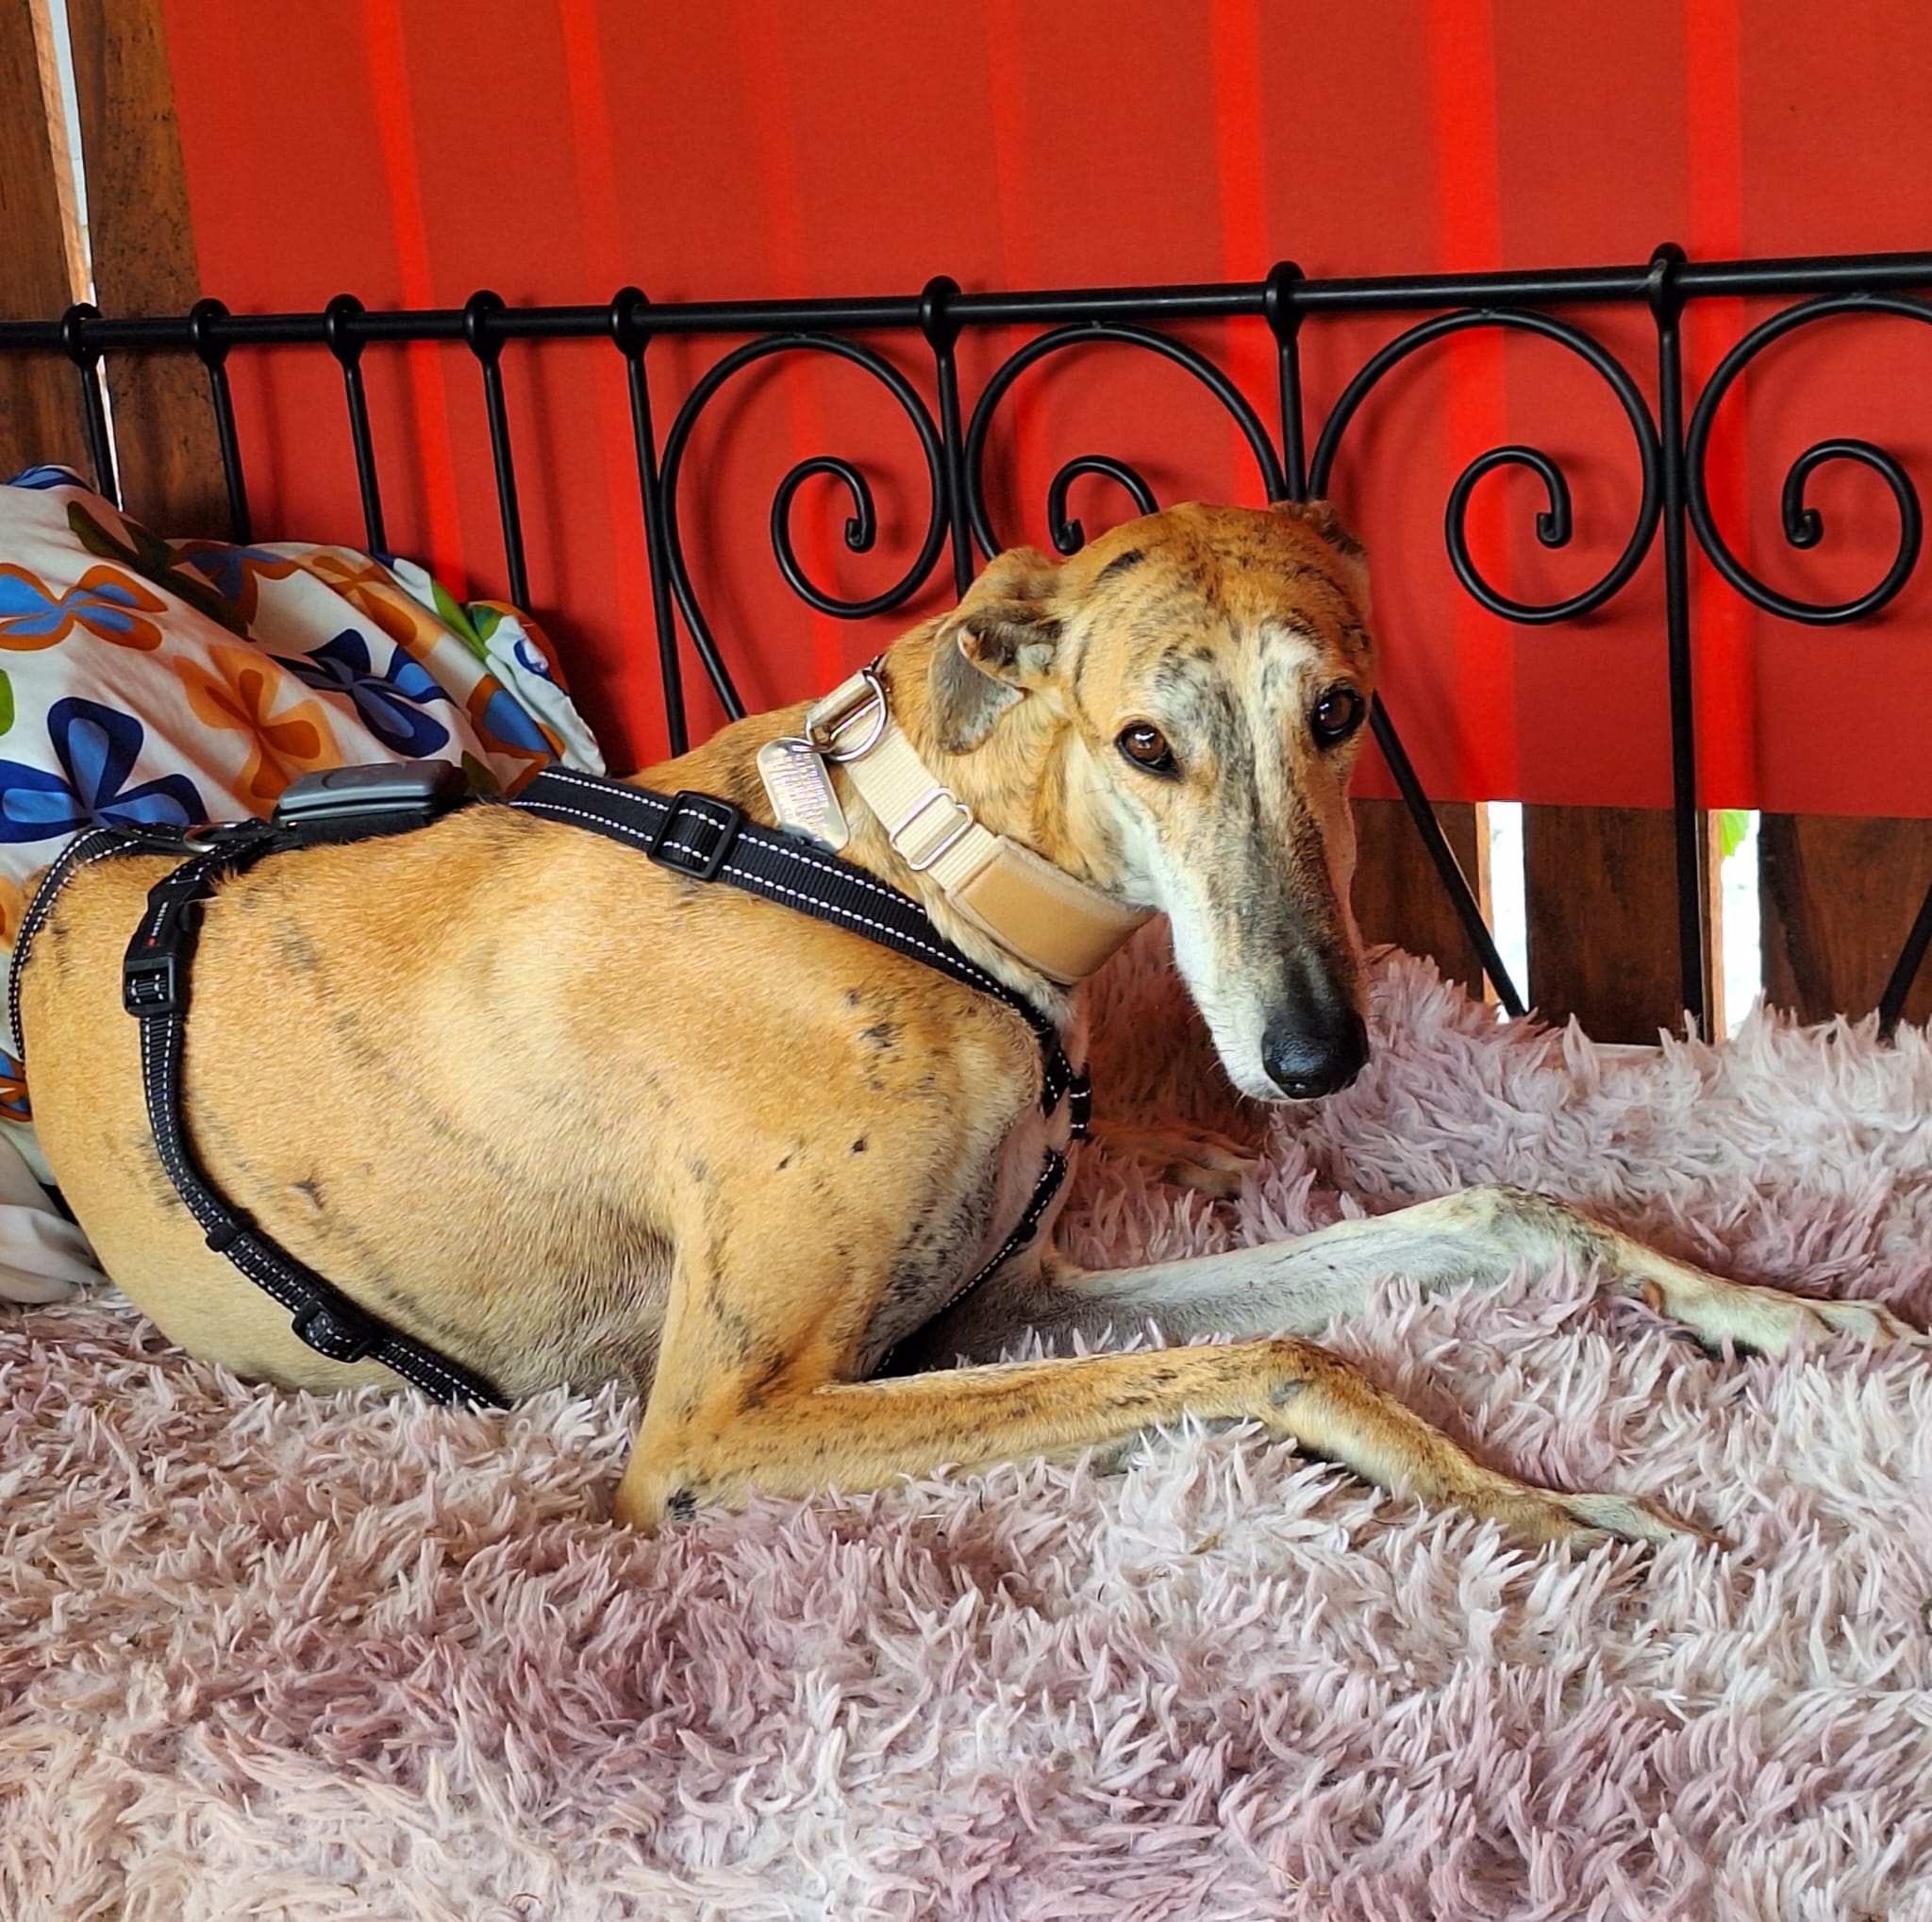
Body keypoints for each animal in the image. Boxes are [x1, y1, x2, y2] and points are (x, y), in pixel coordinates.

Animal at [21, 501, 1922, 1545]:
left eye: (1336, 709)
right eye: (1144, 742)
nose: (1316, 1057)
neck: (914, 884)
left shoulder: (1003, 1299)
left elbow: (1502, 1204)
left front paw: (1780, 1311)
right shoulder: (718, 1430)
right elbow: (1282, 1358)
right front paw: (1530, 1502)